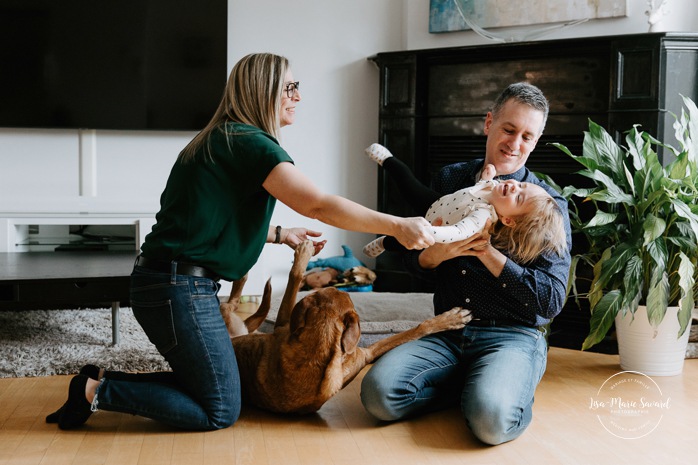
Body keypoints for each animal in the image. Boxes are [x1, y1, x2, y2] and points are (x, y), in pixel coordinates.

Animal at [220, 241, 470, 412]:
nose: (339, 283)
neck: (318, 346)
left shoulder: (366, 353)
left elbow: (415, 329)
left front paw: (446, 320)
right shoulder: (283, 325)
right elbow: (295, 276)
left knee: (233, 302)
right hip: (229, 316)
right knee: (230, 302)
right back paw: (241, 276)